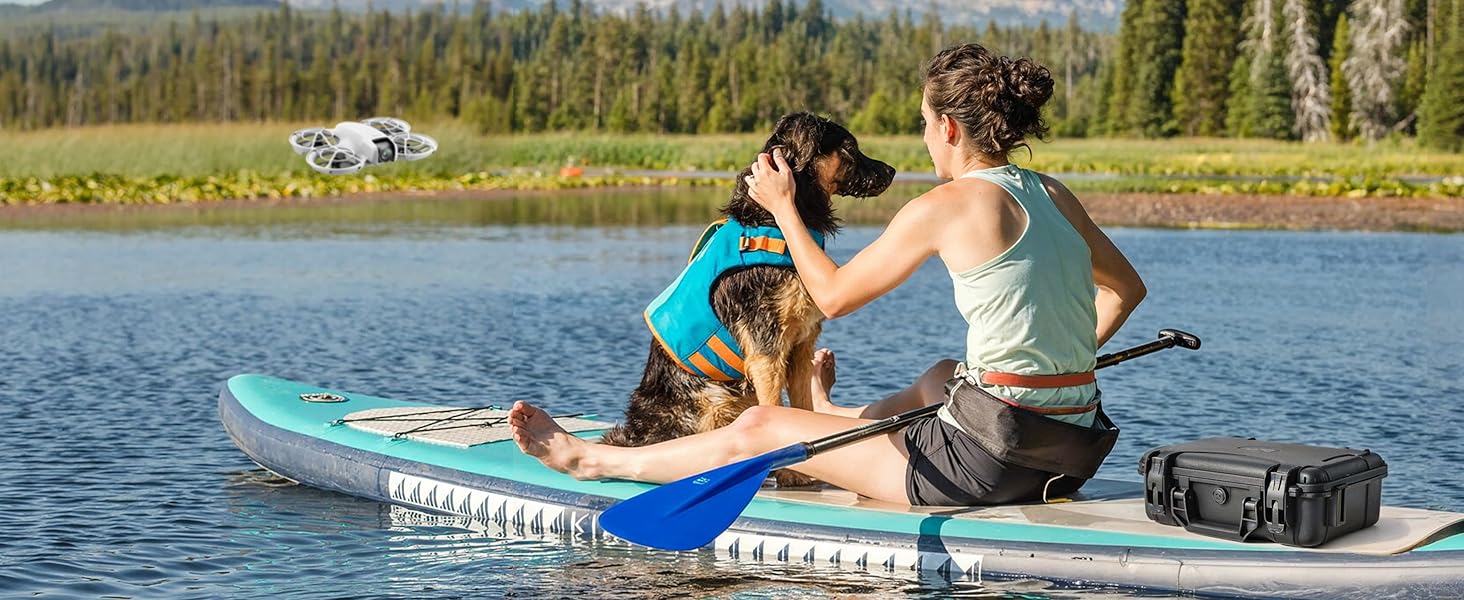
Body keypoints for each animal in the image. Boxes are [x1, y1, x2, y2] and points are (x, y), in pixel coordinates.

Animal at [600, 113, 895, 465]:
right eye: (850, 147)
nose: (892, 171)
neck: (776, 221)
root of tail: (632, 436)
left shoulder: (801, 346)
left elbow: (802, 411)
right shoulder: (765, 347)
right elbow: (775, 411)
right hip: (711, 400)